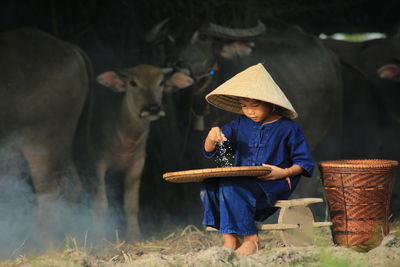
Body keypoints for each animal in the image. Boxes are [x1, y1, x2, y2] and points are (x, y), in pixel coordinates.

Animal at [0, 28, 91, 244]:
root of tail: (70, 49)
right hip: (60, 145)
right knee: (70, 184)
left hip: (40, 142)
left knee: (48, 188)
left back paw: (41, 241)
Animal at [78, 64, 191, 241]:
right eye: (133, 83)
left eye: (161, 82)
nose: (153, 108)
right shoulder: (97, 165)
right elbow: (101, 204)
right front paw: (100, 238)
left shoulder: (137, 164)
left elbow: (131, 204)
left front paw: (134, 235)